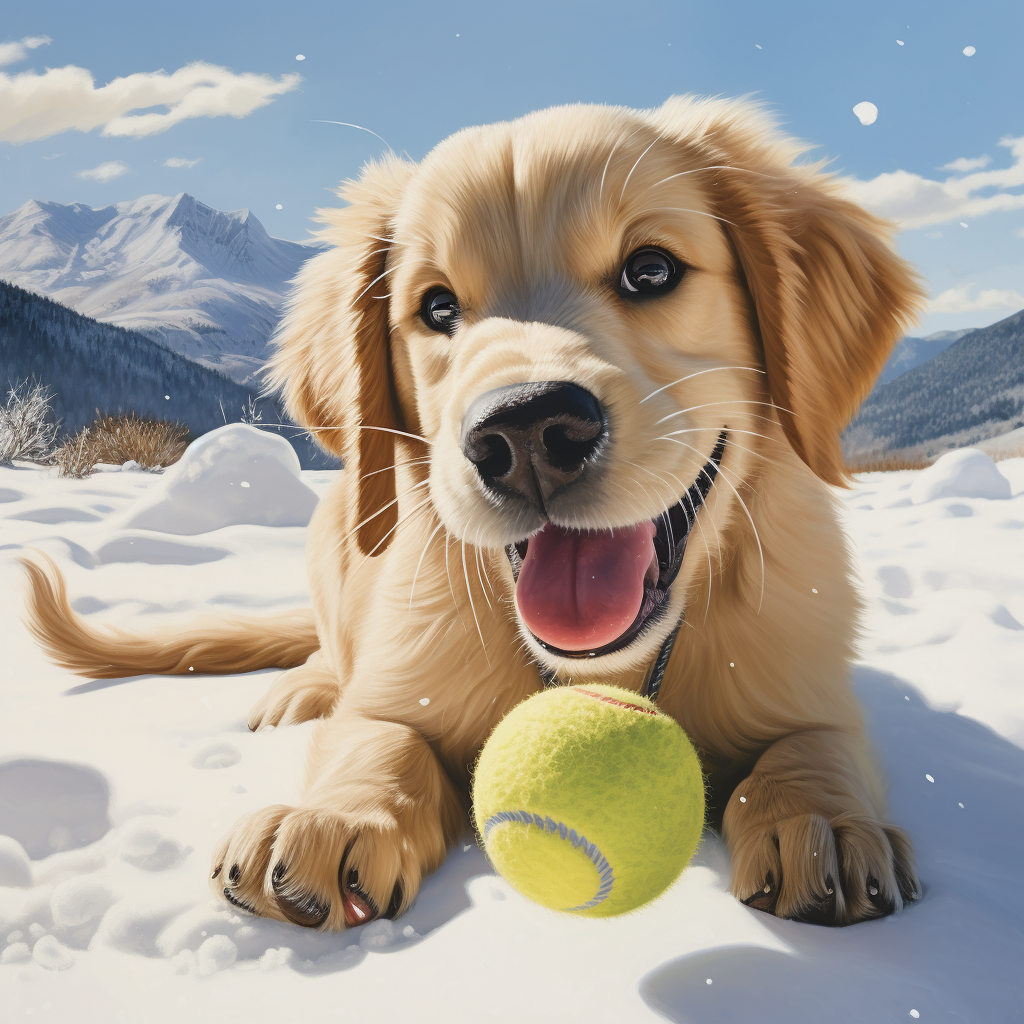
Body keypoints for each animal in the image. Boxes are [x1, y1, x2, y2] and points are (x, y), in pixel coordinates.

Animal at [24, 96, 925, 929]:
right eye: (436, 308)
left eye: (652, 271)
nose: (525, 432)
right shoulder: (401, 678)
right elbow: (378, 735)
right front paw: (330, 819)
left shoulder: (808, 688)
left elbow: (812, 749)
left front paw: (821, 826)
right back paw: (303, 691)